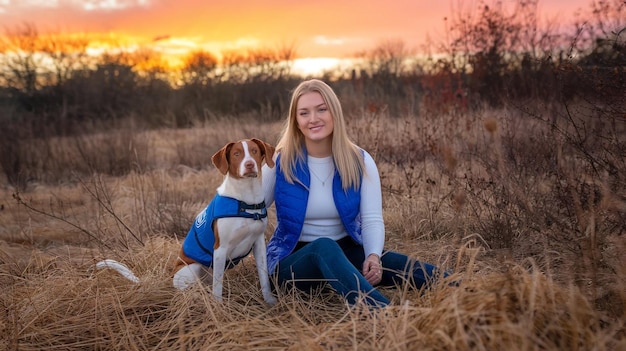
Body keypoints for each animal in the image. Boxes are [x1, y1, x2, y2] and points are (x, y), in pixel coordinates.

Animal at [95, 139, 276, 306]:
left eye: (254, 151)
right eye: (236, 154)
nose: (249, 165)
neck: (246, 199)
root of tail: (170, 277)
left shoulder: (259, 244)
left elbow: (264, 279)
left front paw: (269, 301)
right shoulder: (220, 249)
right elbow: (218, 288)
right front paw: (219, 308)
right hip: (193, 268)